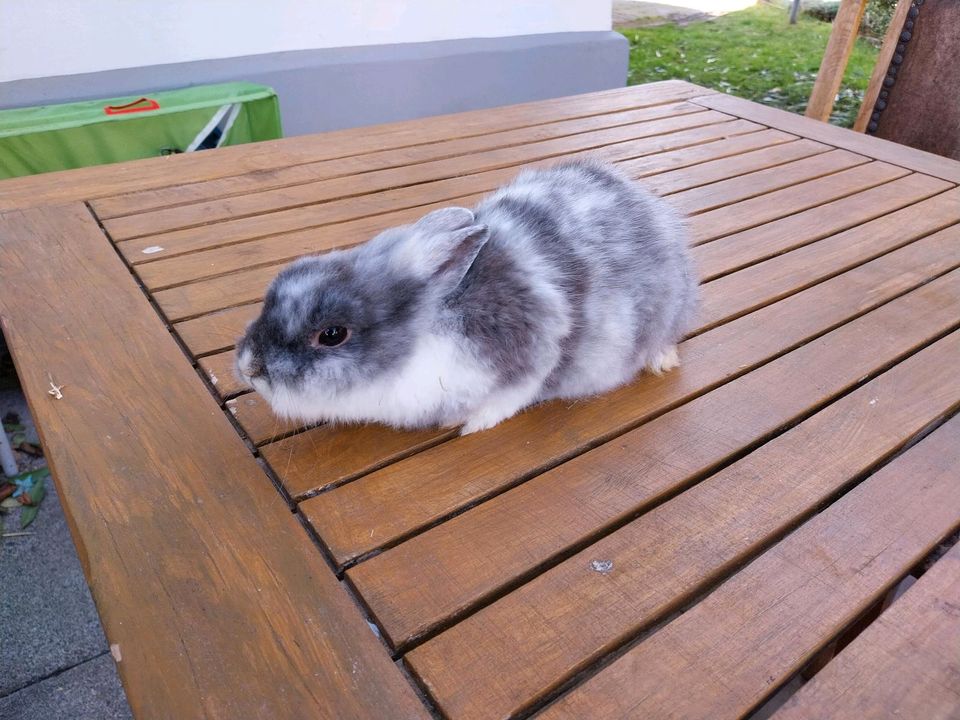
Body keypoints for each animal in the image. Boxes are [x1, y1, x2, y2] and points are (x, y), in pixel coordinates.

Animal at [234, 160, 696, 436]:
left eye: (331, 334)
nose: (248, 368)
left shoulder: (530, 351)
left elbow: (511, 397)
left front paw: (472, 424)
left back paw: (661, 360)